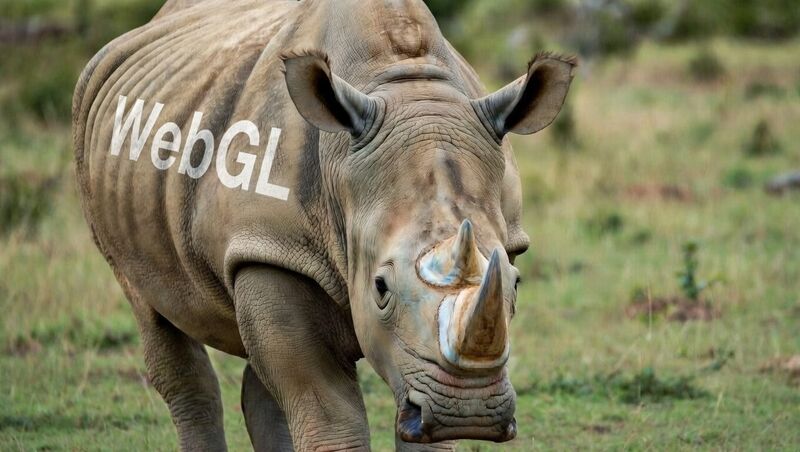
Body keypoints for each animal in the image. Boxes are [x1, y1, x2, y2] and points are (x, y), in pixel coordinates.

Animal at [72, 0, 575, 450]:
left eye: (516, 282)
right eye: (380, 288)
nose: (467, 413)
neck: (405, 86)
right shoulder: (271, 247)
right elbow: (328, 410)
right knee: (156, 316)